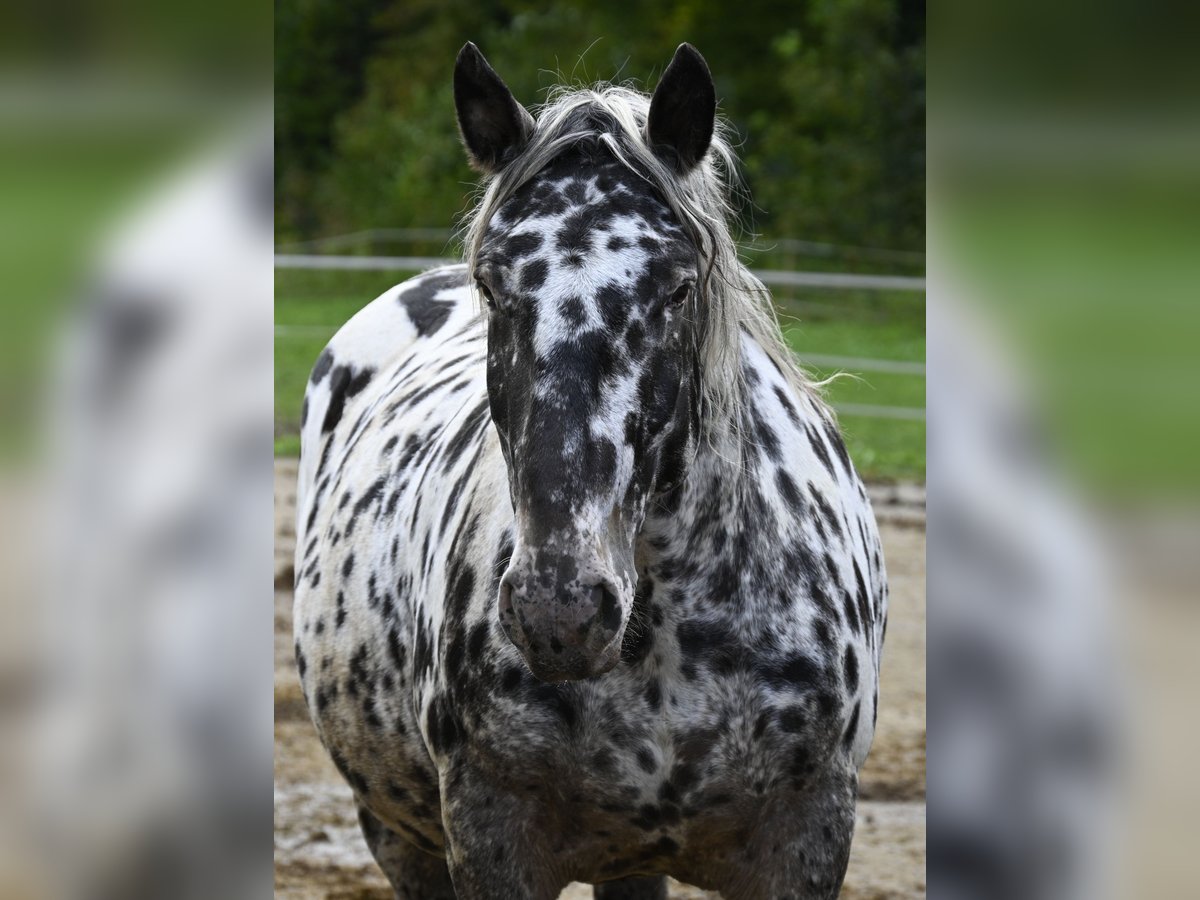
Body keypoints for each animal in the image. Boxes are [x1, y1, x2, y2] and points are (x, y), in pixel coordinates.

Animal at [295, 42, 888, 900]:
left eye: (677, 287)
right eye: (491, 285)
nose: (561, 612)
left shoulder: (807, 842)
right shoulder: (489, 846)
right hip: (398, 837)